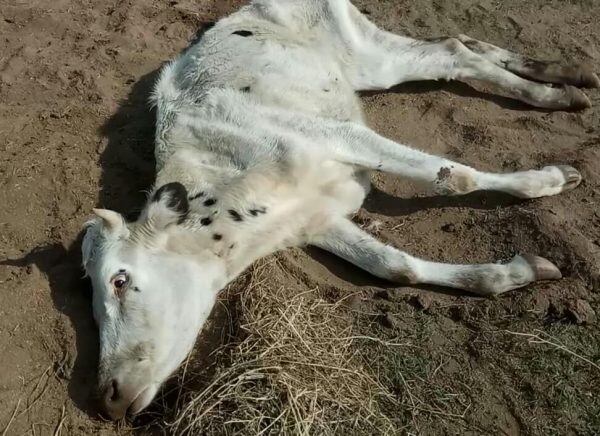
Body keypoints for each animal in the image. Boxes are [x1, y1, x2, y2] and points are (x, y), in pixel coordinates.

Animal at [81, 0, 596, 422]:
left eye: (119, 280)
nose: (107, 397)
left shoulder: (339, 136)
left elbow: (452, 177)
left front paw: (549, 180)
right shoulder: (317, 220)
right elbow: (395, 267)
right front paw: (517, 272)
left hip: (366, 57)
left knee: (453, 54)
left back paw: (556, 95)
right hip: (371, 59)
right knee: (454, 45)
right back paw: (565, 78)